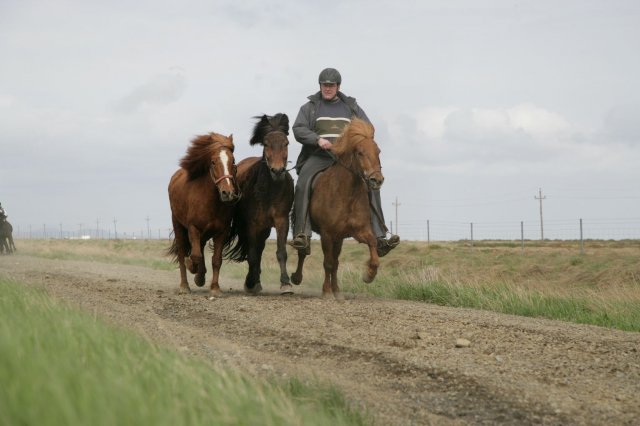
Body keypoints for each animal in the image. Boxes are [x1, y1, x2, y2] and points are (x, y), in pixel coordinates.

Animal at [168, 131, 240, 294]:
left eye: (233, 161)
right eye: (213, 162)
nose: (227, 193)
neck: (210, 202)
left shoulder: (221, 232)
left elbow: (216, 260)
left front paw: (214, 288)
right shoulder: (193, 228)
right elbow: (195, 256)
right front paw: (192, 268)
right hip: (178, 225)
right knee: (182, 253)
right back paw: (185, 286)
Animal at [222, 112, 296, 296]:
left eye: (286, 143)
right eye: (266, 144)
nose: (277, 171)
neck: (269, 190)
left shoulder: (281, 221)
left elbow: (281, 252)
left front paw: (286, 284)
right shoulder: (252, 224)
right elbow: (252, 254)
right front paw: (251, 283)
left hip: (265, 228)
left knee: (260, 248)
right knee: (254, 251)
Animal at [292, 117, 384, 300]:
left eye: (378, 151)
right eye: (360, 152)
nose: (377, 180)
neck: (346, 195)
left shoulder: (356, 232)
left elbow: (370, 248)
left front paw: (367, 276)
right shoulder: (327, 234)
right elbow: (327, 263)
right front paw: (327, 292)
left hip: (338, 239)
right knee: (303, 252)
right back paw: (296, 277)